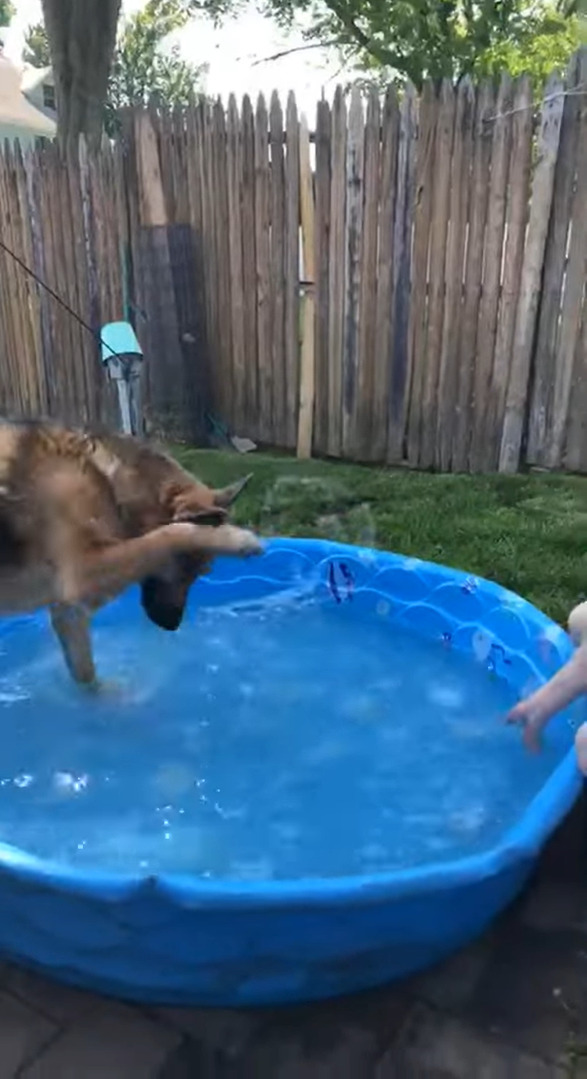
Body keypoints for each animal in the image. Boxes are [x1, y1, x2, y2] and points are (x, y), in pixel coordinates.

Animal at [0, 416, 261, 686]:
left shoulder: (69, 608)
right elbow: (168, 536)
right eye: (185, 566)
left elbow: (85, 673)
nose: (172, 624)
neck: (110, 484)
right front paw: (235, 539)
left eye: (202, 573)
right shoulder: (85, 572)